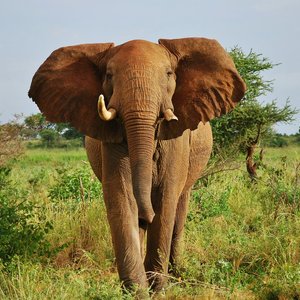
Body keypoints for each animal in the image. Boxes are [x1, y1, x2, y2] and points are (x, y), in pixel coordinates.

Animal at [28, 37, 246, 292]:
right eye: (109, 75)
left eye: (169, 74)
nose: (146, 215)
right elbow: (121, 195)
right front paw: (137, 290)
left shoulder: (177, 141)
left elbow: (166, 199)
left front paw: (157, 288)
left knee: (180, 208)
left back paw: (176, 274)